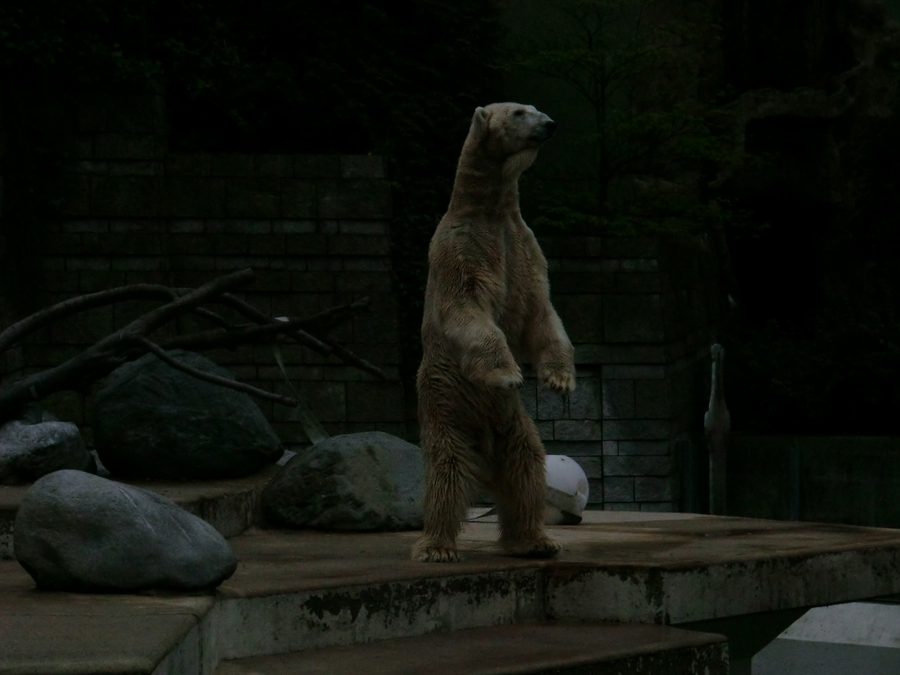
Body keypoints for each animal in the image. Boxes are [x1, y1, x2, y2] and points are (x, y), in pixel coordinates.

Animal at [414, 101, 576, 564]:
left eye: (536, 108)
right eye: (520, 112)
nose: (549, 125)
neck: (491, 208)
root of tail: (483, 457)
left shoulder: (522, 244)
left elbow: (539, 310)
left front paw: (560, 379)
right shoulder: (460, 248)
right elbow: (467, 309)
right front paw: (508, 374)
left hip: (511, 423)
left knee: (527, 466)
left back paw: (535, 540)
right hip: (447, 409)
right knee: (447, 475)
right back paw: (437, 547)